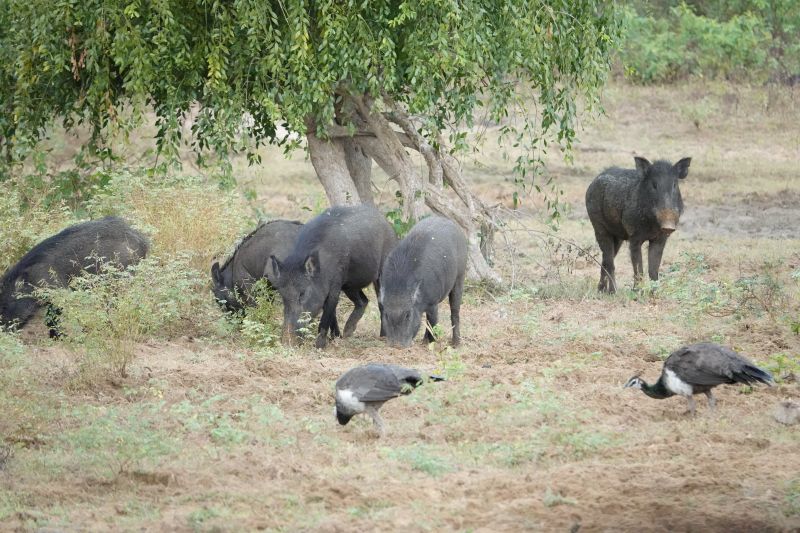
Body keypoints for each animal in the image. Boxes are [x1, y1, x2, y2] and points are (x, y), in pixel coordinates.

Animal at [0, 216, 149, 334]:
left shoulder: (58, 293)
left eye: (6, 304)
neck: (31, 280)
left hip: (118, 278)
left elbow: (52, 318)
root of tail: (143, 241)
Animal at [265, 204, 397, 349]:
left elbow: (327, 315)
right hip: (350, 285)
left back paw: (383, 337)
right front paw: (336, 338)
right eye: (283, 296)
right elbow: (332, 314)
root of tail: (387, 223)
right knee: (363, 301)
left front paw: (319, 346)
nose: (287, 342)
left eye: (302, 294)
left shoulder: (335, 286)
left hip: (381, 272)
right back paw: (347, 332)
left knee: (380, 303)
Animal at [379, 216, 467, 347]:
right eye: (386, 314)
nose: (397, 346)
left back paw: (456, 343)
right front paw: (425, 341)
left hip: (459, 280)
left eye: (408, 314)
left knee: (455, 313)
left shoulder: (433, 303)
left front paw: (431, 342)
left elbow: (433, 321)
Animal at [585, 156, 691, 293]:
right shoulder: (634, 237)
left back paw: (602, 291)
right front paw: (637, 292)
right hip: (599, 227)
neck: (652, 225)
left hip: (618, 237)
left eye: (674, 185)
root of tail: (592, 182)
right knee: (609, 262)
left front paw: (654, 293)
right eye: (654, 185)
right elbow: (638, 269)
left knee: (605, 260)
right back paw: (613, 292)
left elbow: (653, 269)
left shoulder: (660, 239)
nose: (668, 225)